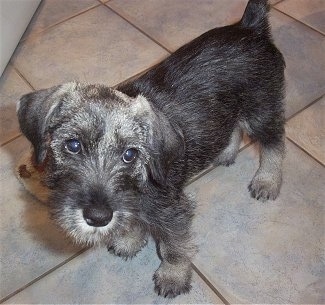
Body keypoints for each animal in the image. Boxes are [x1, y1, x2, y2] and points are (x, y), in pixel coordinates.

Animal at [17, 0, 284, 298]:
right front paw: (130, 240)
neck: (142, 178)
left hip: (261, 110)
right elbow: (133, 220)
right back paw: (226, 152)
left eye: (130, 154)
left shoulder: (174, 212)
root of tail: (251, 27)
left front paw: (173, 276)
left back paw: (267, 181)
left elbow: (175, 246)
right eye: (73, 145)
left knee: (274, 143)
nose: (98, 218)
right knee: (234, 125)